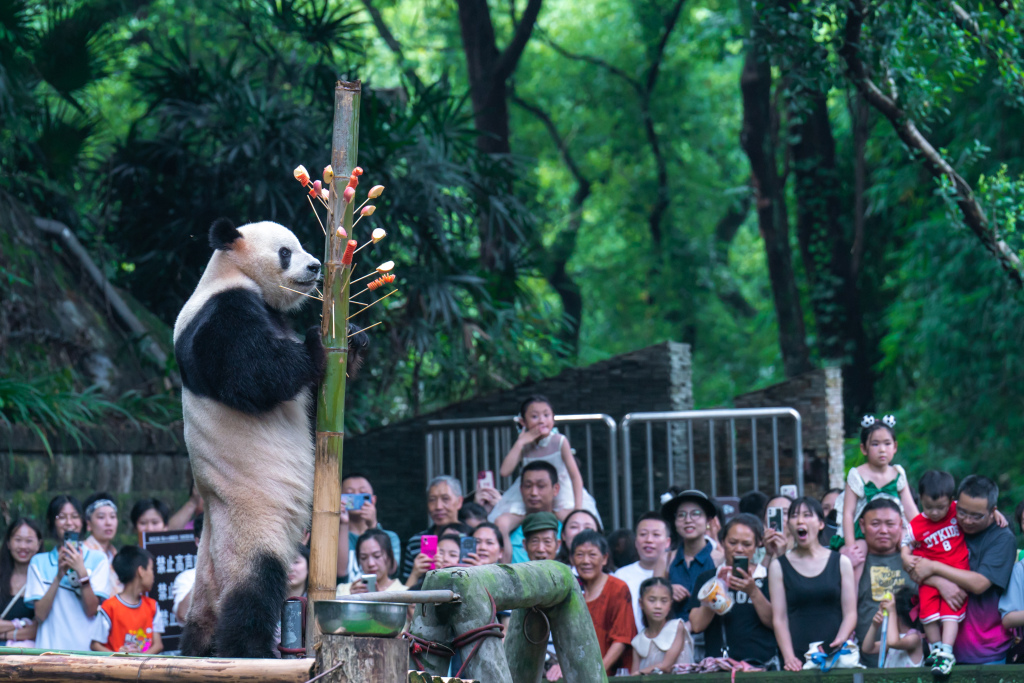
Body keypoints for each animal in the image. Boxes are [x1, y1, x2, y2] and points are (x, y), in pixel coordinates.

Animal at [173, 218, 362, 658]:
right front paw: (316, 342)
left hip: (209, 560)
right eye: (285, 252)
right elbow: (253, 373)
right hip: (252, 519)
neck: (230, 272)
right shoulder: (220, 315)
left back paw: (198, 647)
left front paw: (354, 337)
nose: (315, 267)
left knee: (206, 606)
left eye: (302, 246)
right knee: (256, 582)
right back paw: (248, 649)